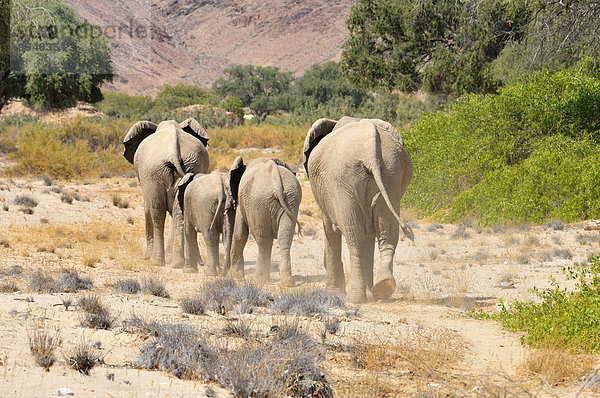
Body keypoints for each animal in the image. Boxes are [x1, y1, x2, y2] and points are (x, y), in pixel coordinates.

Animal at [122, 118, 209, 268]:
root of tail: (174, 152)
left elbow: (147, 209)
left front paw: (147, 257)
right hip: (192, 165)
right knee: (180, 213)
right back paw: (178, 263)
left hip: (153, 172)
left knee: (157, 212)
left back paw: (156, 261)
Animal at [227, 156, 302, 286]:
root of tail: (275, 177)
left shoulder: (242, 202)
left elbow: (240, 234)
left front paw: (234, 276)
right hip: (291, 198)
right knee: (285, 237)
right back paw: (287, 283)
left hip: (258, 202)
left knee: (263, 239)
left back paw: (259, 281)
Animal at [304, 116, 412, 304]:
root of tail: (370, 152)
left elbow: (329, 230)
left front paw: (332, 292)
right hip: (391, 173)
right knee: (387, 231)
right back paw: (383, 287)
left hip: (344, 181)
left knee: (353, 235)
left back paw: (355, 297)